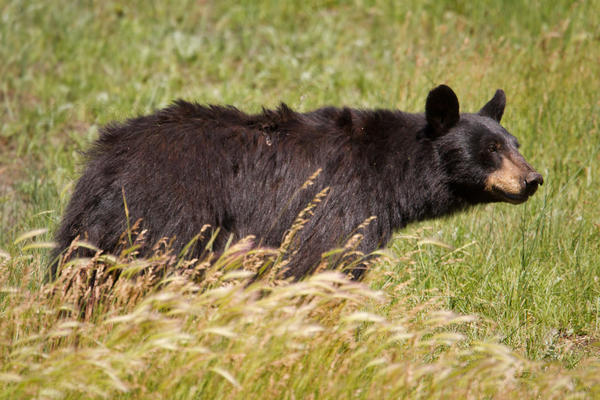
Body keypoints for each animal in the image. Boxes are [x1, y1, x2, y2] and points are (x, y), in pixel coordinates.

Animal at [49, 85, 540, 278]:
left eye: (514, 143)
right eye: (491, 149)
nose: (533, 178)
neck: (388, 174)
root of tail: (108, 157)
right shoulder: (339, 209)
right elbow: (324, 265)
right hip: (166, 215)